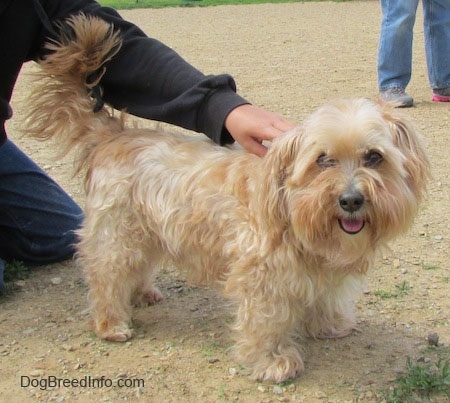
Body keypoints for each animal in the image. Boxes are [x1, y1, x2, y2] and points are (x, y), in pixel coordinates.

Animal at [26, 15, 430, 382]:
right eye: (323, 160)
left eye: (374, 157)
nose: (350, 200)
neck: (291, 212)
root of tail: (115, 135)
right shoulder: (261, 276)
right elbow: (266, 322)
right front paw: (273, 362)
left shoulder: (324, 271)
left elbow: (326, 296)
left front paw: (330, 324)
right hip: (117, 235)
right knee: (106, 276)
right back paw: (111, 323)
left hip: (147, 232)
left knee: (136, 267)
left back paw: (142, 294)